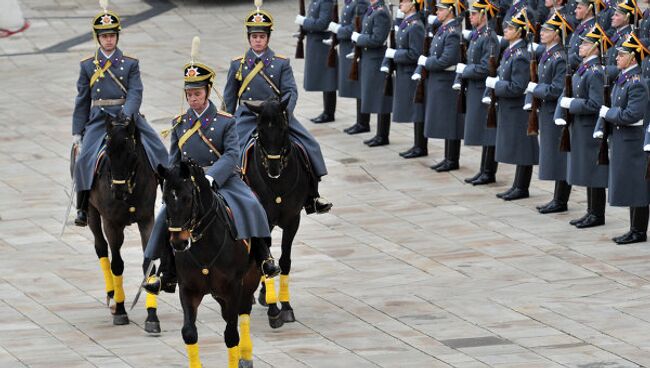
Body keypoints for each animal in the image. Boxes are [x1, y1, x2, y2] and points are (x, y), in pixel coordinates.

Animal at [86, 113, 160, 332]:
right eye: (108, 153)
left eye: (131, 154)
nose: (118, 191)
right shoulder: (111, 224)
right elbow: (117, 265)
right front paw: (120, 310)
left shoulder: (147, 220)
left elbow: (148, 264)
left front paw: (152, 316)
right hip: (92, 213)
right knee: (101, 247)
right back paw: (111, 294)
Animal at [156, 162, 258, 368]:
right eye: (165, 199)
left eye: (188, 199)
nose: (178, 243)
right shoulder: (188, 289)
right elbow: (189, 332)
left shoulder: (234, 288)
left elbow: (231, 335)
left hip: (249, 281)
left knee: (243, 312)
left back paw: (246, 355)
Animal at [243, 98, 312, 328]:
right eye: (259, 129)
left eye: (283, 128)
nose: (273, 168)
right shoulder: (260, 219)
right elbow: (267, 261)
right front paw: (274, 310)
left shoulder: (293, 220)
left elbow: (284, 261)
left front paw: (287, 307)